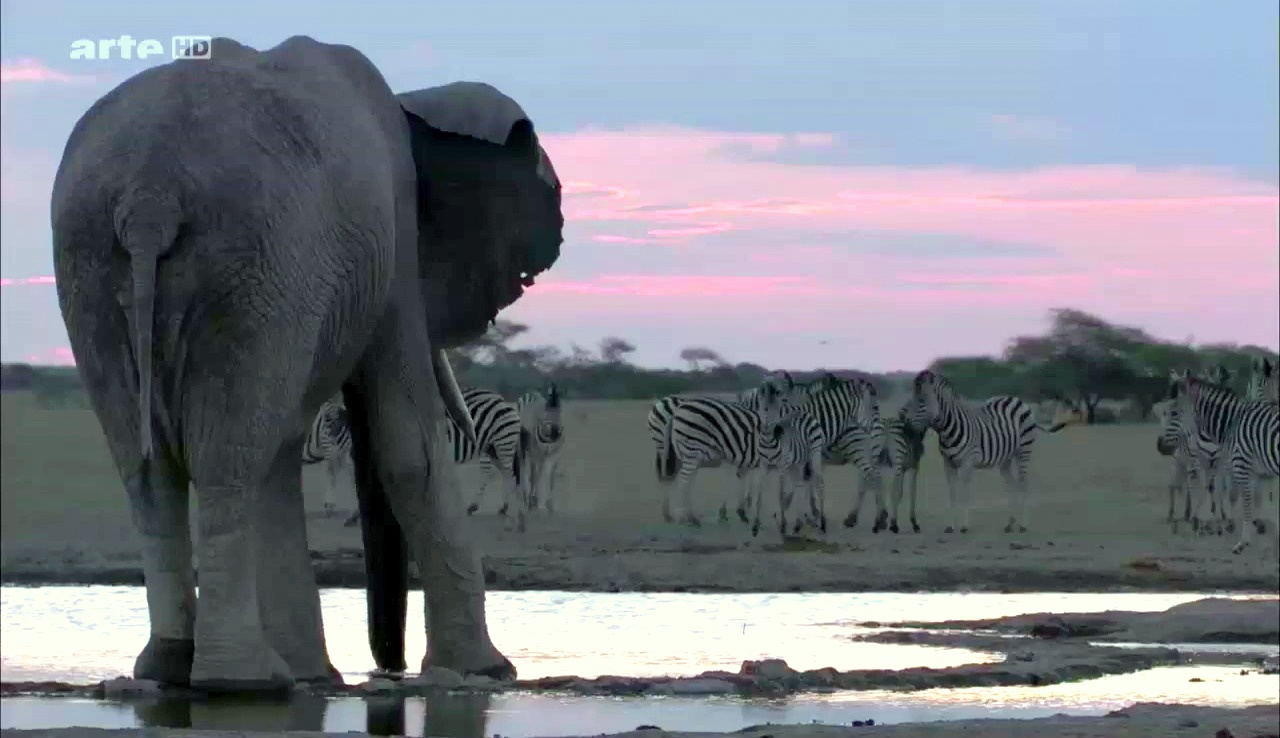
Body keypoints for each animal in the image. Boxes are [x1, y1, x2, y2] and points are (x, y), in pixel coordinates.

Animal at [51, 34, 560, 690]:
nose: (388, 671)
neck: (412, 107)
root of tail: (148, 196)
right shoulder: (394, 244)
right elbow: (409, 446)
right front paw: (489, 673)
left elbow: (284, 451)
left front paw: (317, 679)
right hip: (248, 263)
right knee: (227, 460)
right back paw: (243, 681)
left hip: (102, 267)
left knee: (152, 469)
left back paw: (172, 666)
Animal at [906, 370, 1075, 532]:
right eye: (911, 400)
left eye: (921, 401)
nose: (907, 426)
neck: (948, 429)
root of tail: (1019, 401)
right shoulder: (948, 463)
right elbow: (952, 494)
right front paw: (950, 526)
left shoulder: (968, 462)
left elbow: (964, 494)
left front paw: (964, 526)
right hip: (1006, 458)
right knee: (1011, 484)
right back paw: (1010, 524)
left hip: (1024, 451)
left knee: (1023, 484)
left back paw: (1023, 525)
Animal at [1172, 373, 1280, 552]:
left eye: (1173, 413)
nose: (1162, 445)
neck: (1233, 422)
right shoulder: (1259, 473)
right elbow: (1261, 503)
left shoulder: (1242, 467)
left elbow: (1246, 503)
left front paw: (1243, 542)